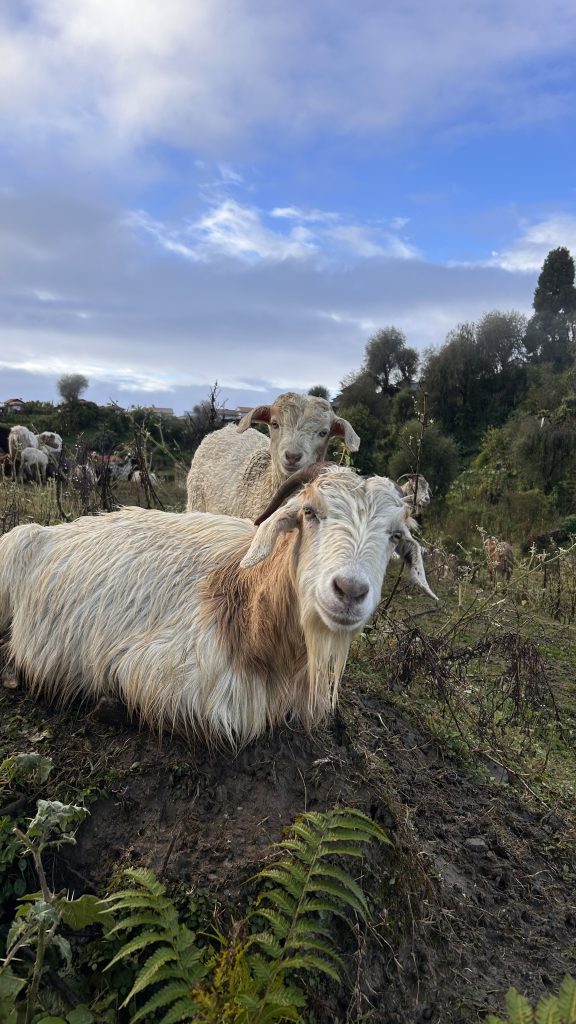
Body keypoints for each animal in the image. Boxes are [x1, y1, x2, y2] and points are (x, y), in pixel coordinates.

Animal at [0, 466, 435, 747]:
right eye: (310, 512)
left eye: (395, 536)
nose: (349, 591)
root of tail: (47, 531)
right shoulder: (167, 676)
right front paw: (108, 703)